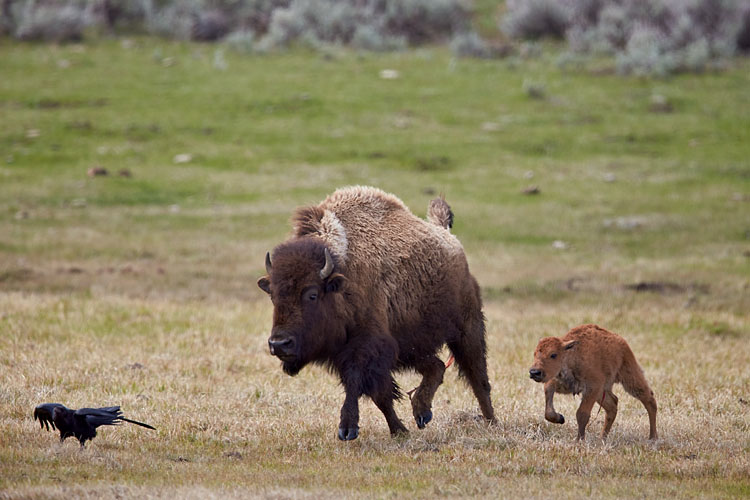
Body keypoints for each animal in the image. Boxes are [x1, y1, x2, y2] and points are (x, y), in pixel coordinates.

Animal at [260, 186, 500, 440]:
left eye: (312, 295)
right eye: (273, 295)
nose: (279, 344)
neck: (342, 278)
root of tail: (448, 237)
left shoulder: (366, 348)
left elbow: (359, 385)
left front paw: (348, 429)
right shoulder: (356, 354)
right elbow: (381, 396)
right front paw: (399, 430)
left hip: (466, 329)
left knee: (478, 378)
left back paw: (491, 422)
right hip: (410, 346)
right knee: (436, 366)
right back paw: (422, 413)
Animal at [528, 322, 656, 440]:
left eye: (553, 355)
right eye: (534, 353)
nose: (534, 372)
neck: (571, 355)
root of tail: (620, 340)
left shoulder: (592, 388)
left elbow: (582, 414)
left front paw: (579, 441)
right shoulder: (556, 383)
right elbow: (548, 408)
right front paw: (560, 418)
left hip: (630, 379)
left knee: (649, 399)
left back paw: (653, 437)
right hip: (602, 392)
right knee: (613, 404)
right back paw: (602, 438)